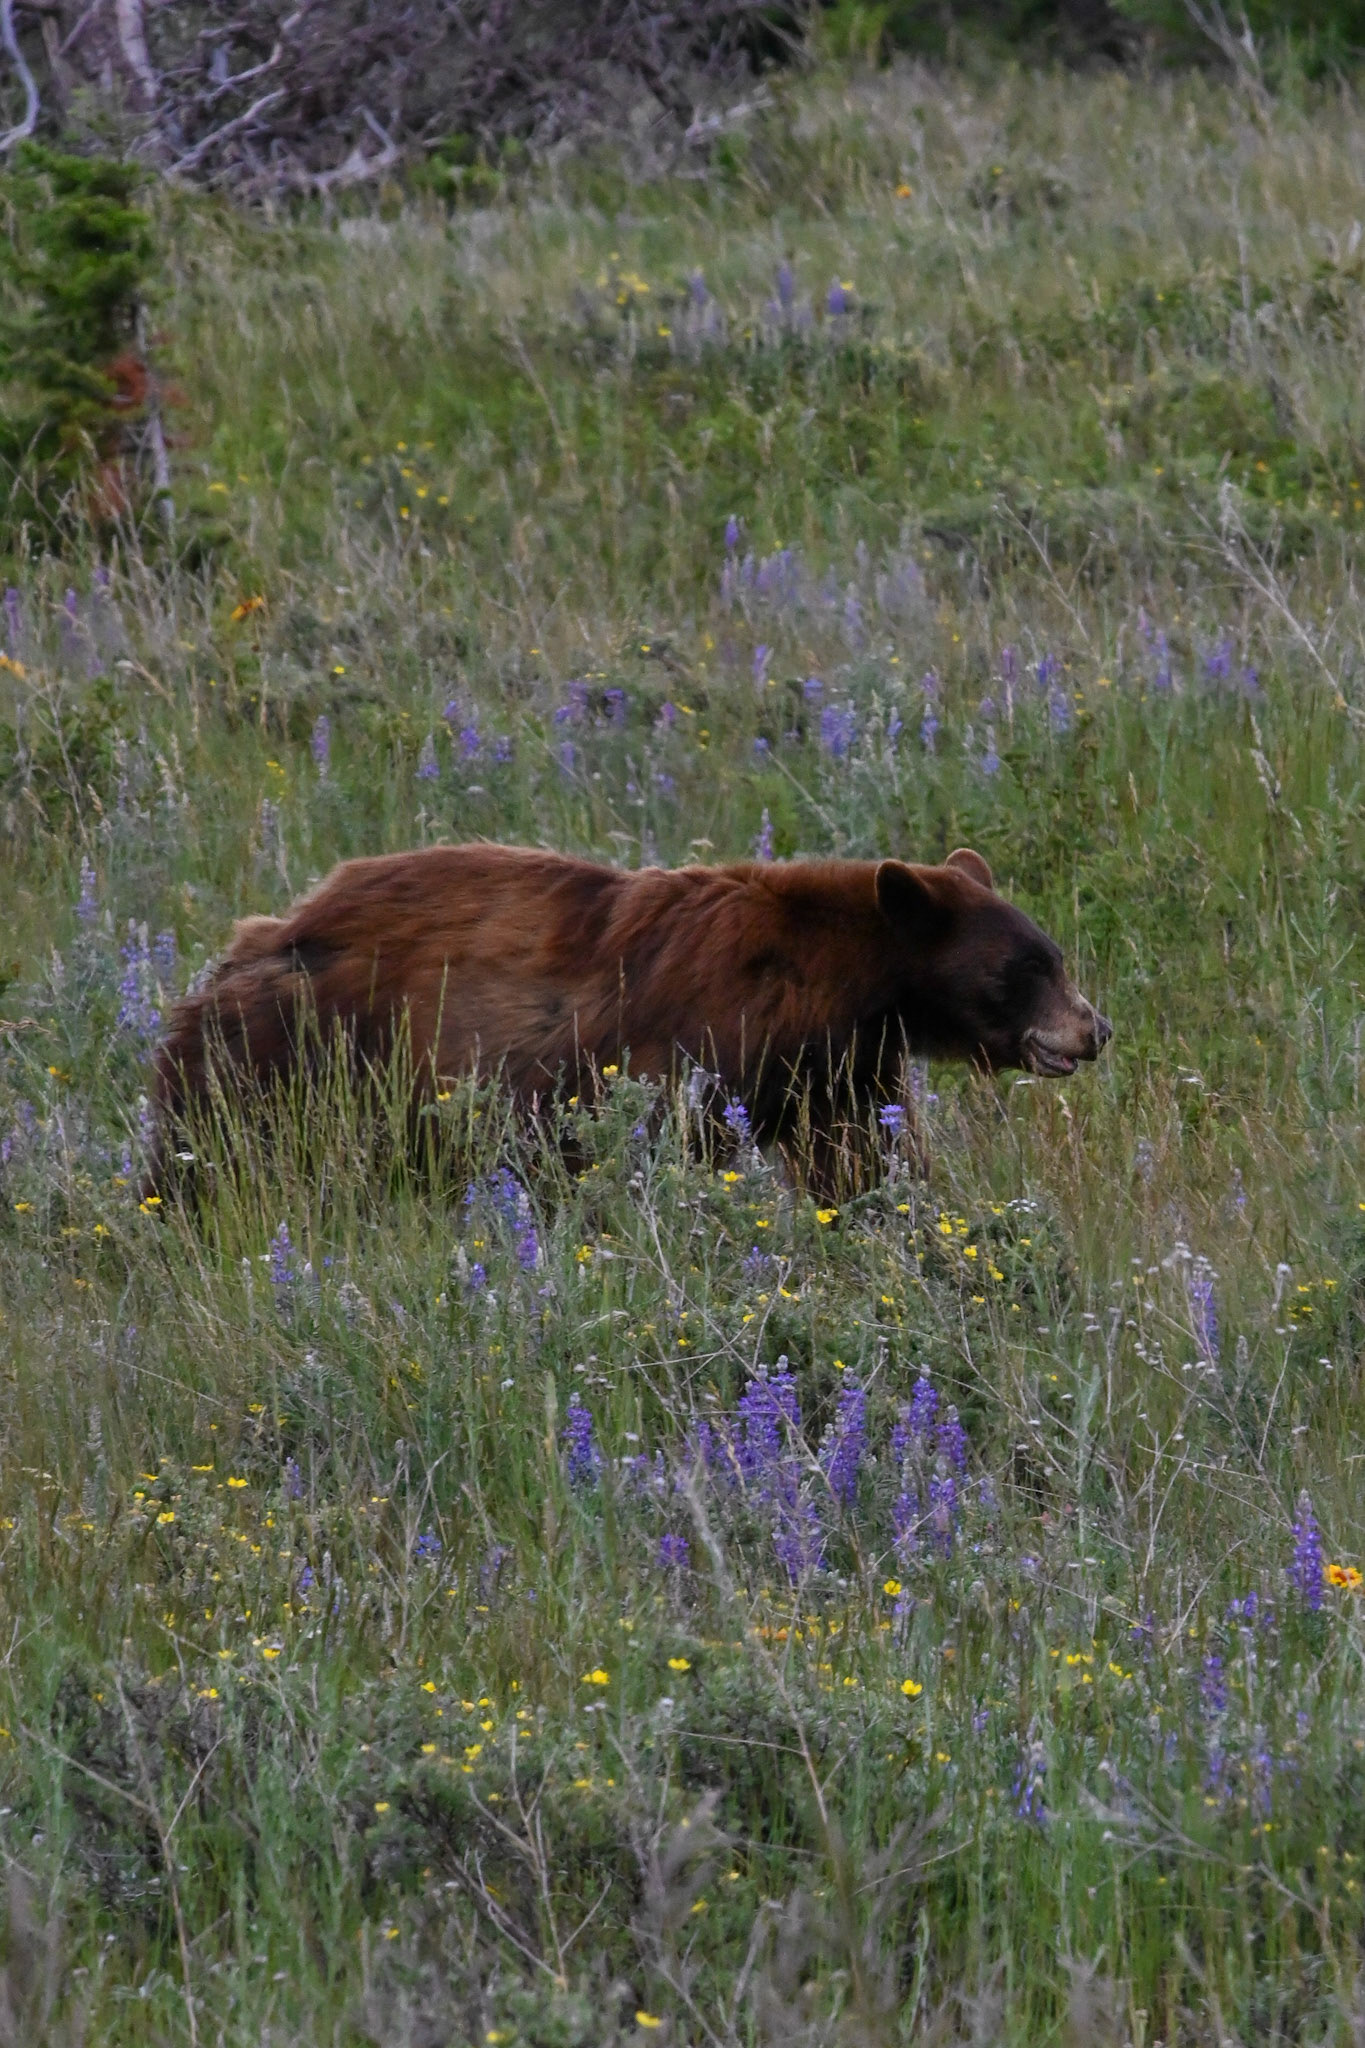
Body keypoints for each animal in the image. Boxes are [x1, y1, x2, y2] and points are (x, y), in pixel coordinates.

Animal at [147, 842, 1111, 1196]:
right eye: (1029, 968)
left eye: (1053, 956)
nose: (1093, 1029)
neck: (832, 986)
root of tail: (253, 937)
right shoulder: (697, 1039)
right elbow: (656, 1137)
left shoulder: (836, 1069)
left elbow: (866, 1157)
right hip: (286, 1056)